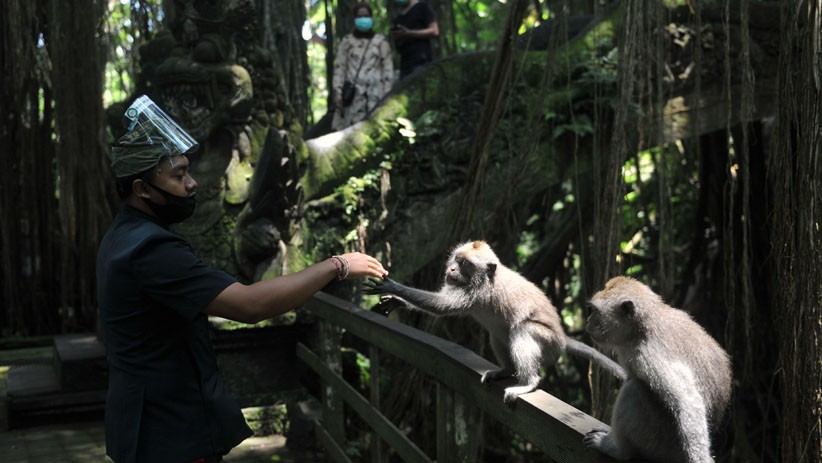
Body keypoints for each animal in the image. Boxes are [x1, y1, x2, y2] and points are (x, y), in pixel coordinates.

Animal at [362, 240, 627, 404]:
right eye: (455, 259)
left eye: (465, 264)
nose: (451, 269)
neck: (482, 278)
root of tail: (562, 338)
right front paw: (396, 300)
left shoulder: (475, 293)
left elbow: (442, 307)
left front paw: (394, 287)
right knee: (499, 335)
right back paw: (506, 371)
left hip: (549, 344)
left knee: (521, 330)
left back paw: (528, 383)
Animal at [582, 276, 732, 463]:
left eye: (594, 311)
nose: (587, 322)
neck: (641, 329)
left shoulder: (649, 355)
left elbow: (689, 402)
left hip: (663, 444)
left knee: (633, 390)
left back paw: (617, 450)